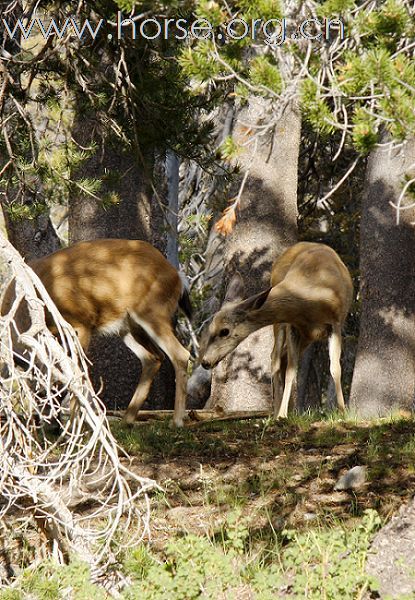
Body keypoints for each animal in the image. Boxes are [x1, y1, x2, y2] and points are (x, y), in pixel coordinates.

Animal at [0, 238, 192, 426]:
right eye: (34, 391)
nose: (50, 424)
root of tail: (178, 276)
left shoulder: (81, 323)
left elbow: (78, 373)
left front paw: (75, 423)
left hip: (152, 311)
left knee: (180, 354)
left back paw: (176, 421)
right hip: (128, 327)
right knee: (153, 357)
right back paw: (127, 420)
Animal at [202, 241, 354, 420]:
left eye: (224, 331)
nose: (205, 361)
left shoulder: (335, 324)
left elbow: (335, 369)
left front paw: (343, 412)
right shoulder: (293, 325)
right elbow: (291, 371)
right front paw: (282, 414)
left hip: (307, 336)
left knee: (282, 358)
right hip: (284, 325)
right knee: (275, 357)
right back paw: (277, 411)